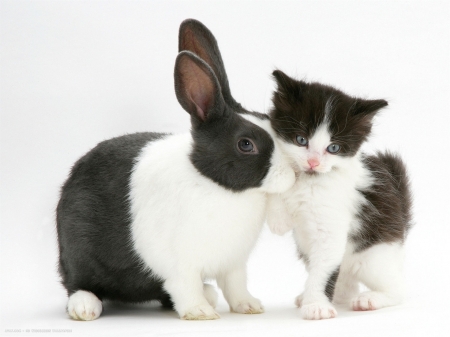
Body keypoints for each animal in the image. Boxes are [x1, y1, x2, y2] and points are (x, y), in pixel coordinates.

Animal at [56, 19, 296, 320]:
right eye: (245, 144)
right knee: (77, 283)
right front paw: (200, 313)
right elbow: (185, 286)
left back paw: (209, 294)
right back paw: (85, 307)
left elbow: (236, 286)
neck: (216, 185)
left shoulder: (234, 263)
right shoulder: (180, 264)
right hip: (77, 252)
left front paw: (250, 306)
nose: (293, 174)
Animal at [268, 69, 412, 318]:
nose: (313, 162)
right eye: (301, 140)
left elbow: (323, 271)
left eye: (333, 148)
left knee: (398, 288)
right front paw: (279, 219)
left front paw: (316, 305)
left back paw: (369, 299)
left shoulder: (330, 228)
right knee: (345, 285)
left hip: (374, 257)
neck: (310, 180)